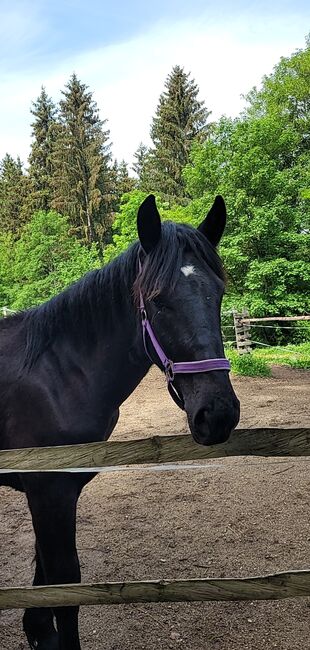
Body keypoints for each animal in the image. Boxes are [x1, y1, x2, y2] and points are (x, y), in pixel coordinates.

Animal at [0, 195, 240, 644]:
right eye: (157, 300)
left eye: (217, 294)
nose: (217, 414)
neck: (57, 372)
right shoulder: (49, 491)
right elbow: (66, 588)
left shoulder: (53, 493)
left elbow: (45, 591)